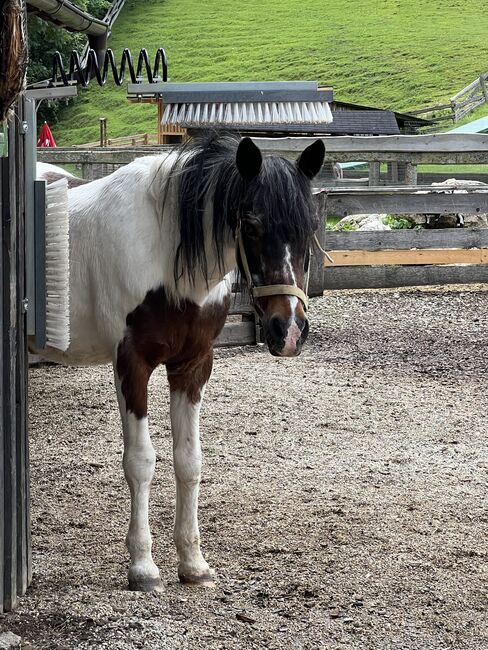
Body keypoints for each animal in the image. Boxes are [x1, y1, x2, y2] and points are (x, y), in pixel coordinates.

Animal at [34, 134, 324, 588]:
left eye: (309, 227)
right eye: (252, 224)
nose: (289, 330)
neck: (164, 252)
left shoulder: (193, 365)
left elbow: (189, 461)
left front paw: (193, 563)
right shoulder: (131, 365)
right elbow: (140, 462)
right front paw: (143, 567)